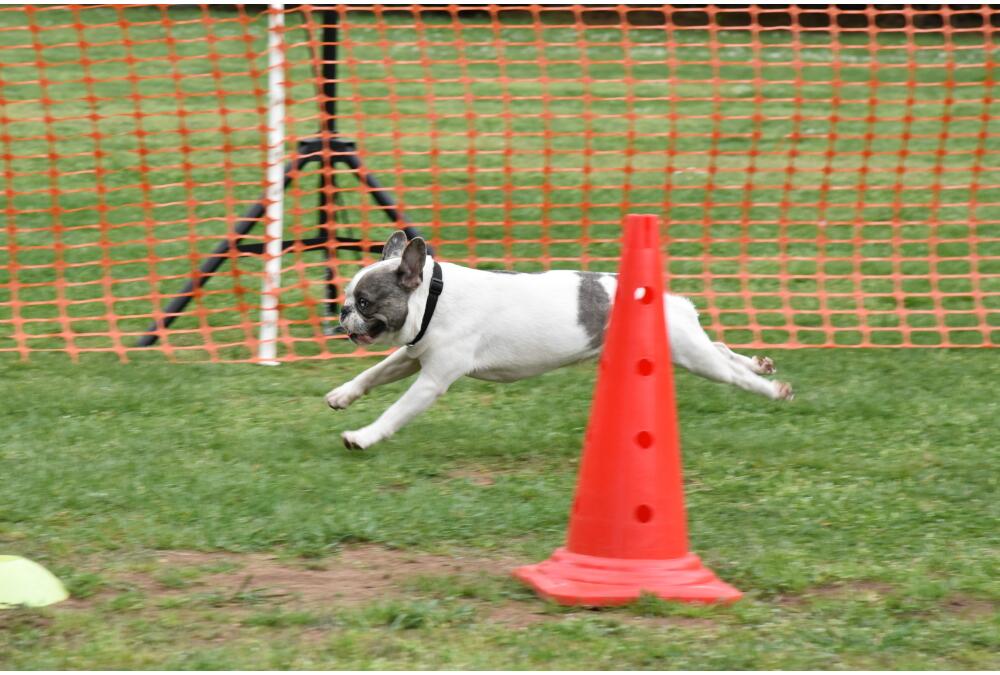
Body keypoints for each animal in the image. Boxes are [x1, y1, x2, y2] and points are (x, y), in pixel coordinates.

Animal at [327, 231, 793, 450]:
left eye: (365, 302)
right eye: (349, 299)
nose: (342, 311)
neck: (431, 298)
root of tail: (665, 296)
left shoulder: (432, 379)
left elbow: (395, 412)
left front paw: (363, 436)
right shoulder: (412, 355)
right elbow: (373, 374)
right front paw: (341, 395)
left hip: (689, 354)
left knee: (732, 375)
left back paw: (771, 388)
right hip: (686, 346)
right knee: (722, 350)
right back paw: (759, 364)